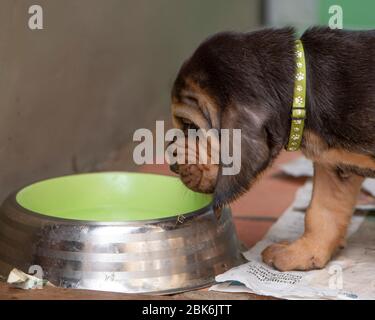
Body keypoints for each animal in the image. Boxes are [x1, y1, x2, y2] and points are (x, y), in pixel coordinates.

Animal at [170, 28, 375, 272]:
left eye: (191, 126)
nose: (172, 166)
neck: (304, 85)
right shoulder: (335, 166)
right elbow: (322, 211)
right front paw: (302, 253)